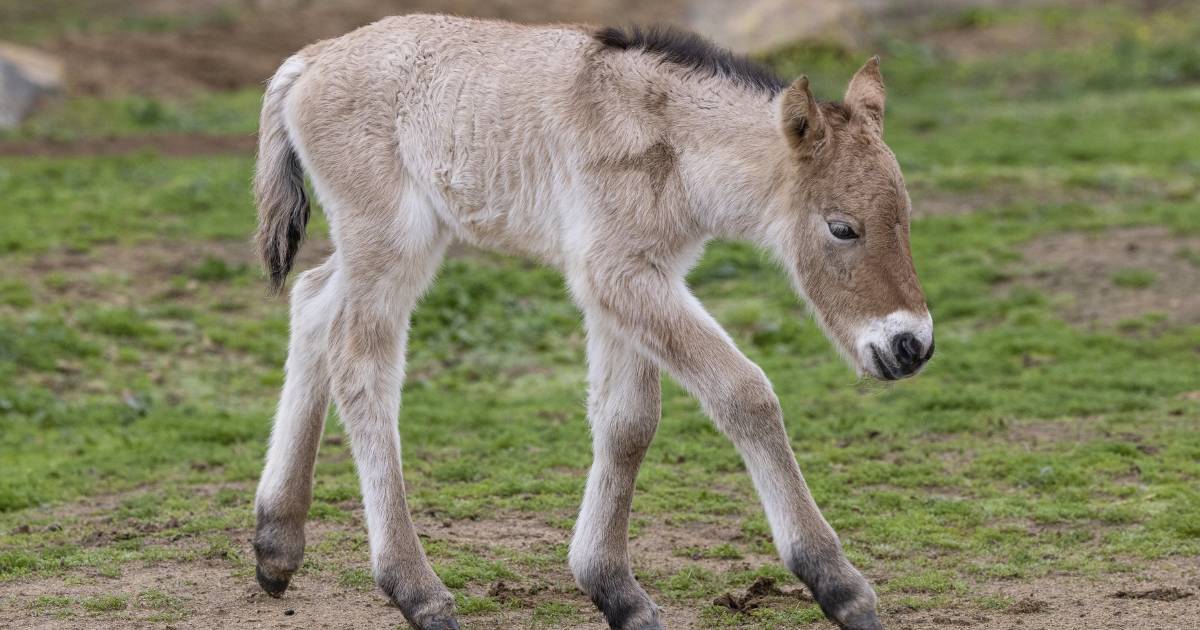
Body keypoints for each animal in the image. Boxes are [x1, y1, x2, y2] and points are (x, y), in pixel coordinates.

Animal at [253, 14, 931, 628]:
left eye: (905, 214)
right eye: (841, 228)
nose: (911, 346)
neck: (668, 142)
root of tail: (310, 59)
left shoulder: (636, 279)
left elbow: (627, 422)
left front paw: (614, 589)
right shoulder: (615, 273)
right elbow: (745, 394)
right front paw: (839, 585)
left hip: (391, 243)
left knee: (312, 300)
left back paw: (276, 544)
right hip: (391, 239)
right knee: (360, 368)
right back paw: (416, 590)